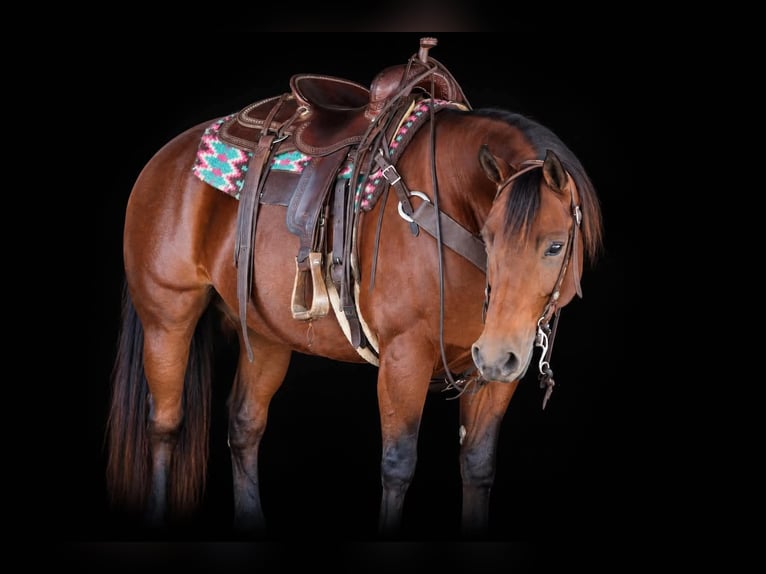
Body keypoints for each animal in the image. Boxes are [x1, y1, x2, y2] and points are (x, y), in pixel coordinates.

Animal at [105, 38, 603, 539]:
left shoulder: (497, 373)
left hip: (265, 335)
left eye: (556, 246)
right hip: (167, 319)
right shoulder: (405, 358)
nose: (499, 353)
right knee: (165, 424)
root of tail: (166, 158)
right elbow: (397, 466)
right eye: (491, 237)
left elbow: (477, 466)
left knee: (244, 427)